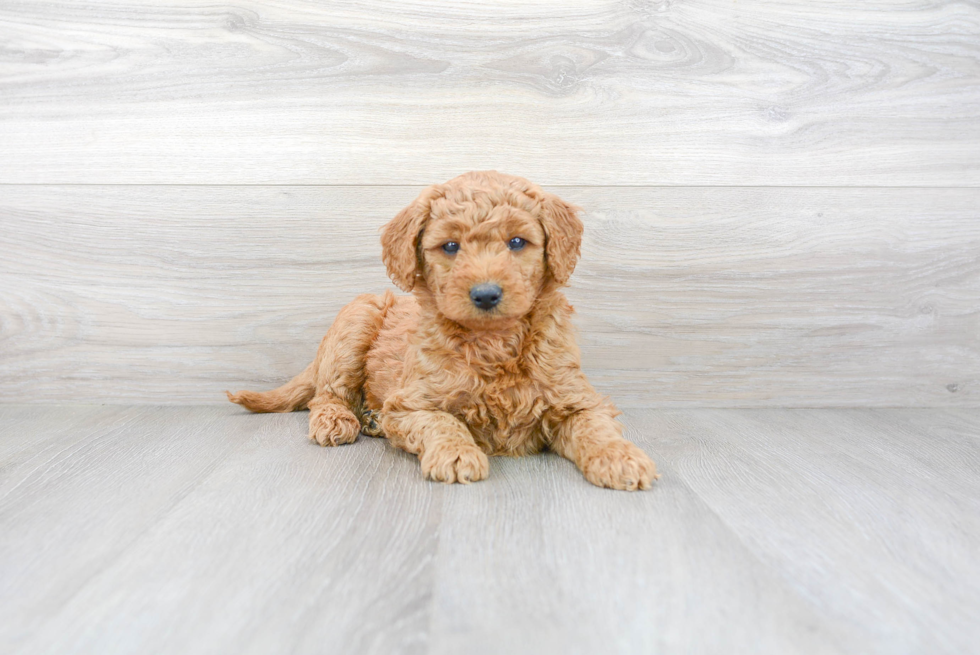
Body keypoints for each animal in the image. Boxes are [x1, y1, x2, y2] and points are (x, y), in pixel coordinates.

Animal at [230, 172, 660, 490]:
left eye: (517, 241)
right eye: (451, 246)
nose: (485, 294)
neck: (493, 341)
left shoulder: (576, 397)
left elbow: (596, 427)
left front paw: (621, 458)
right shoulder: (411, 403)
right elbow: (443, 421)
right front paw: (457, 454)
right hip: (355, 321)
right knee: (326, 395)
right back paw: (339, 420)